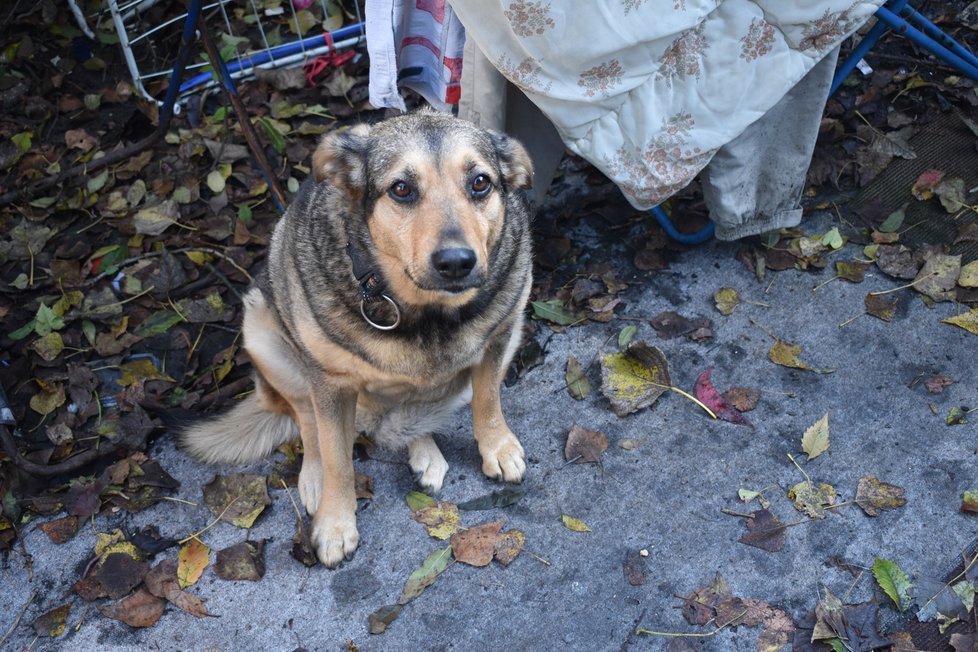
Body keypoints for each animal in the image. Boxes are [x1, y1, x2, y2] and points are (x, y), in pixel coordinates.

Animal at [183, 109, 532, 568]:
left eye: (480, 182)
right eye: (401, 188)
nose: (457, 262)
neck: (422, 310)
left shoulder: (501, 335)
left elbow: (488, 400)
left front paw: (497, 446)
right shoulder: (330, 382)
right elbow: (336, 457)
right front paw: (335, 522)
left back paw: (423, 450)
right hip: (263, 332)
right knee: (306, 420)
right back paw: (314, 475)